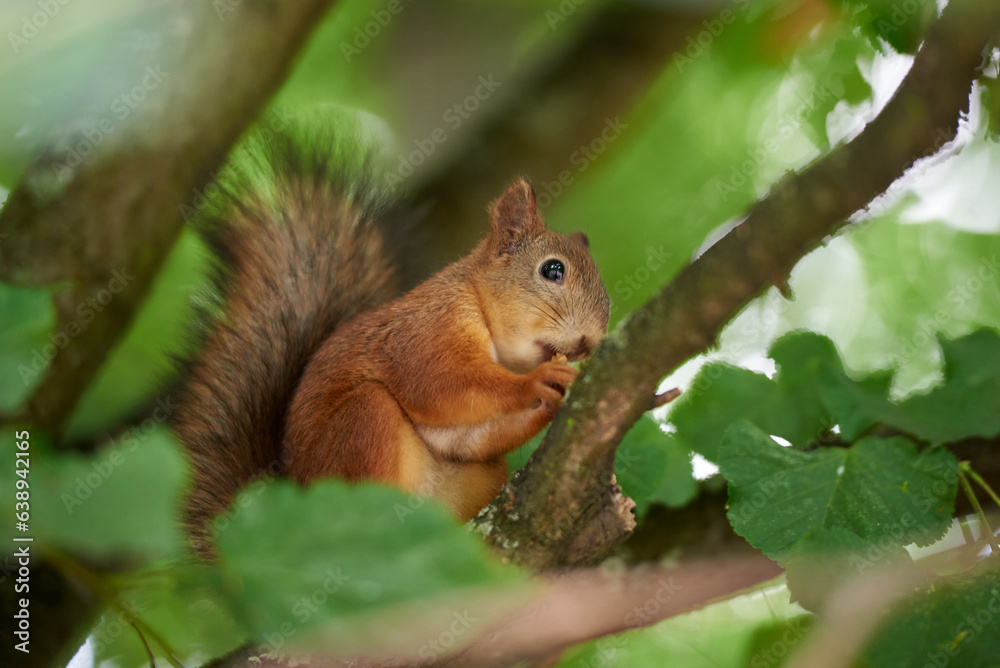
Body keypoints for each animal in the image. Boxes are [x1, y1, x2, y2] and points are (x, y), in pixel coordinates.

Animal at [173, 124, 608, 552]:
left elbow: (468, 438)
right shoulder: (424, 332)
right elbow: (441, 384)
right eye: (552, 270)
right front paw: (537, 382)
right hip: (361, 426)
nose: (591, 341)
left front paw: (555, 401)